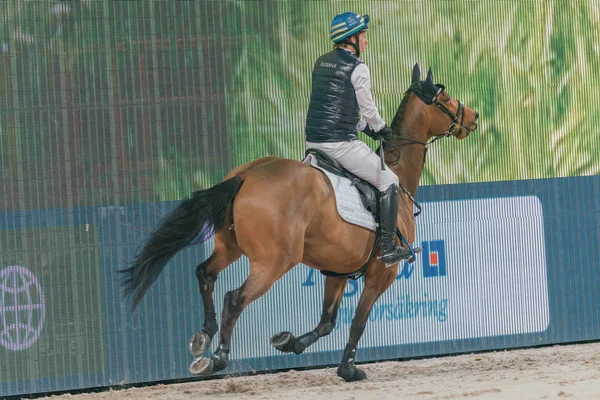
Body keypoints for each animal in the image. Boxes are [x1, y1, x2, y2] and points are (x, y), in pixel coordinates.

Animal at [120, 64, 478, 382]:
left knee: (205, 274)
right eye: (446, 99)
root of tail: (248, 175)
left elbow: (327, 322)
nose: (473, 117)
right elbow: (357, 322)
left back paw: (204, 336)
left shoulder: (337, 272)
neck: (397, 175)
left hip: (230, 247)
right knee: (234, 299)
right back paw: (217, 358)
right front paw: (348, 370)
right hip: (274, 262)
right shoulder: (381, 275)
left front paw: (289, 342)